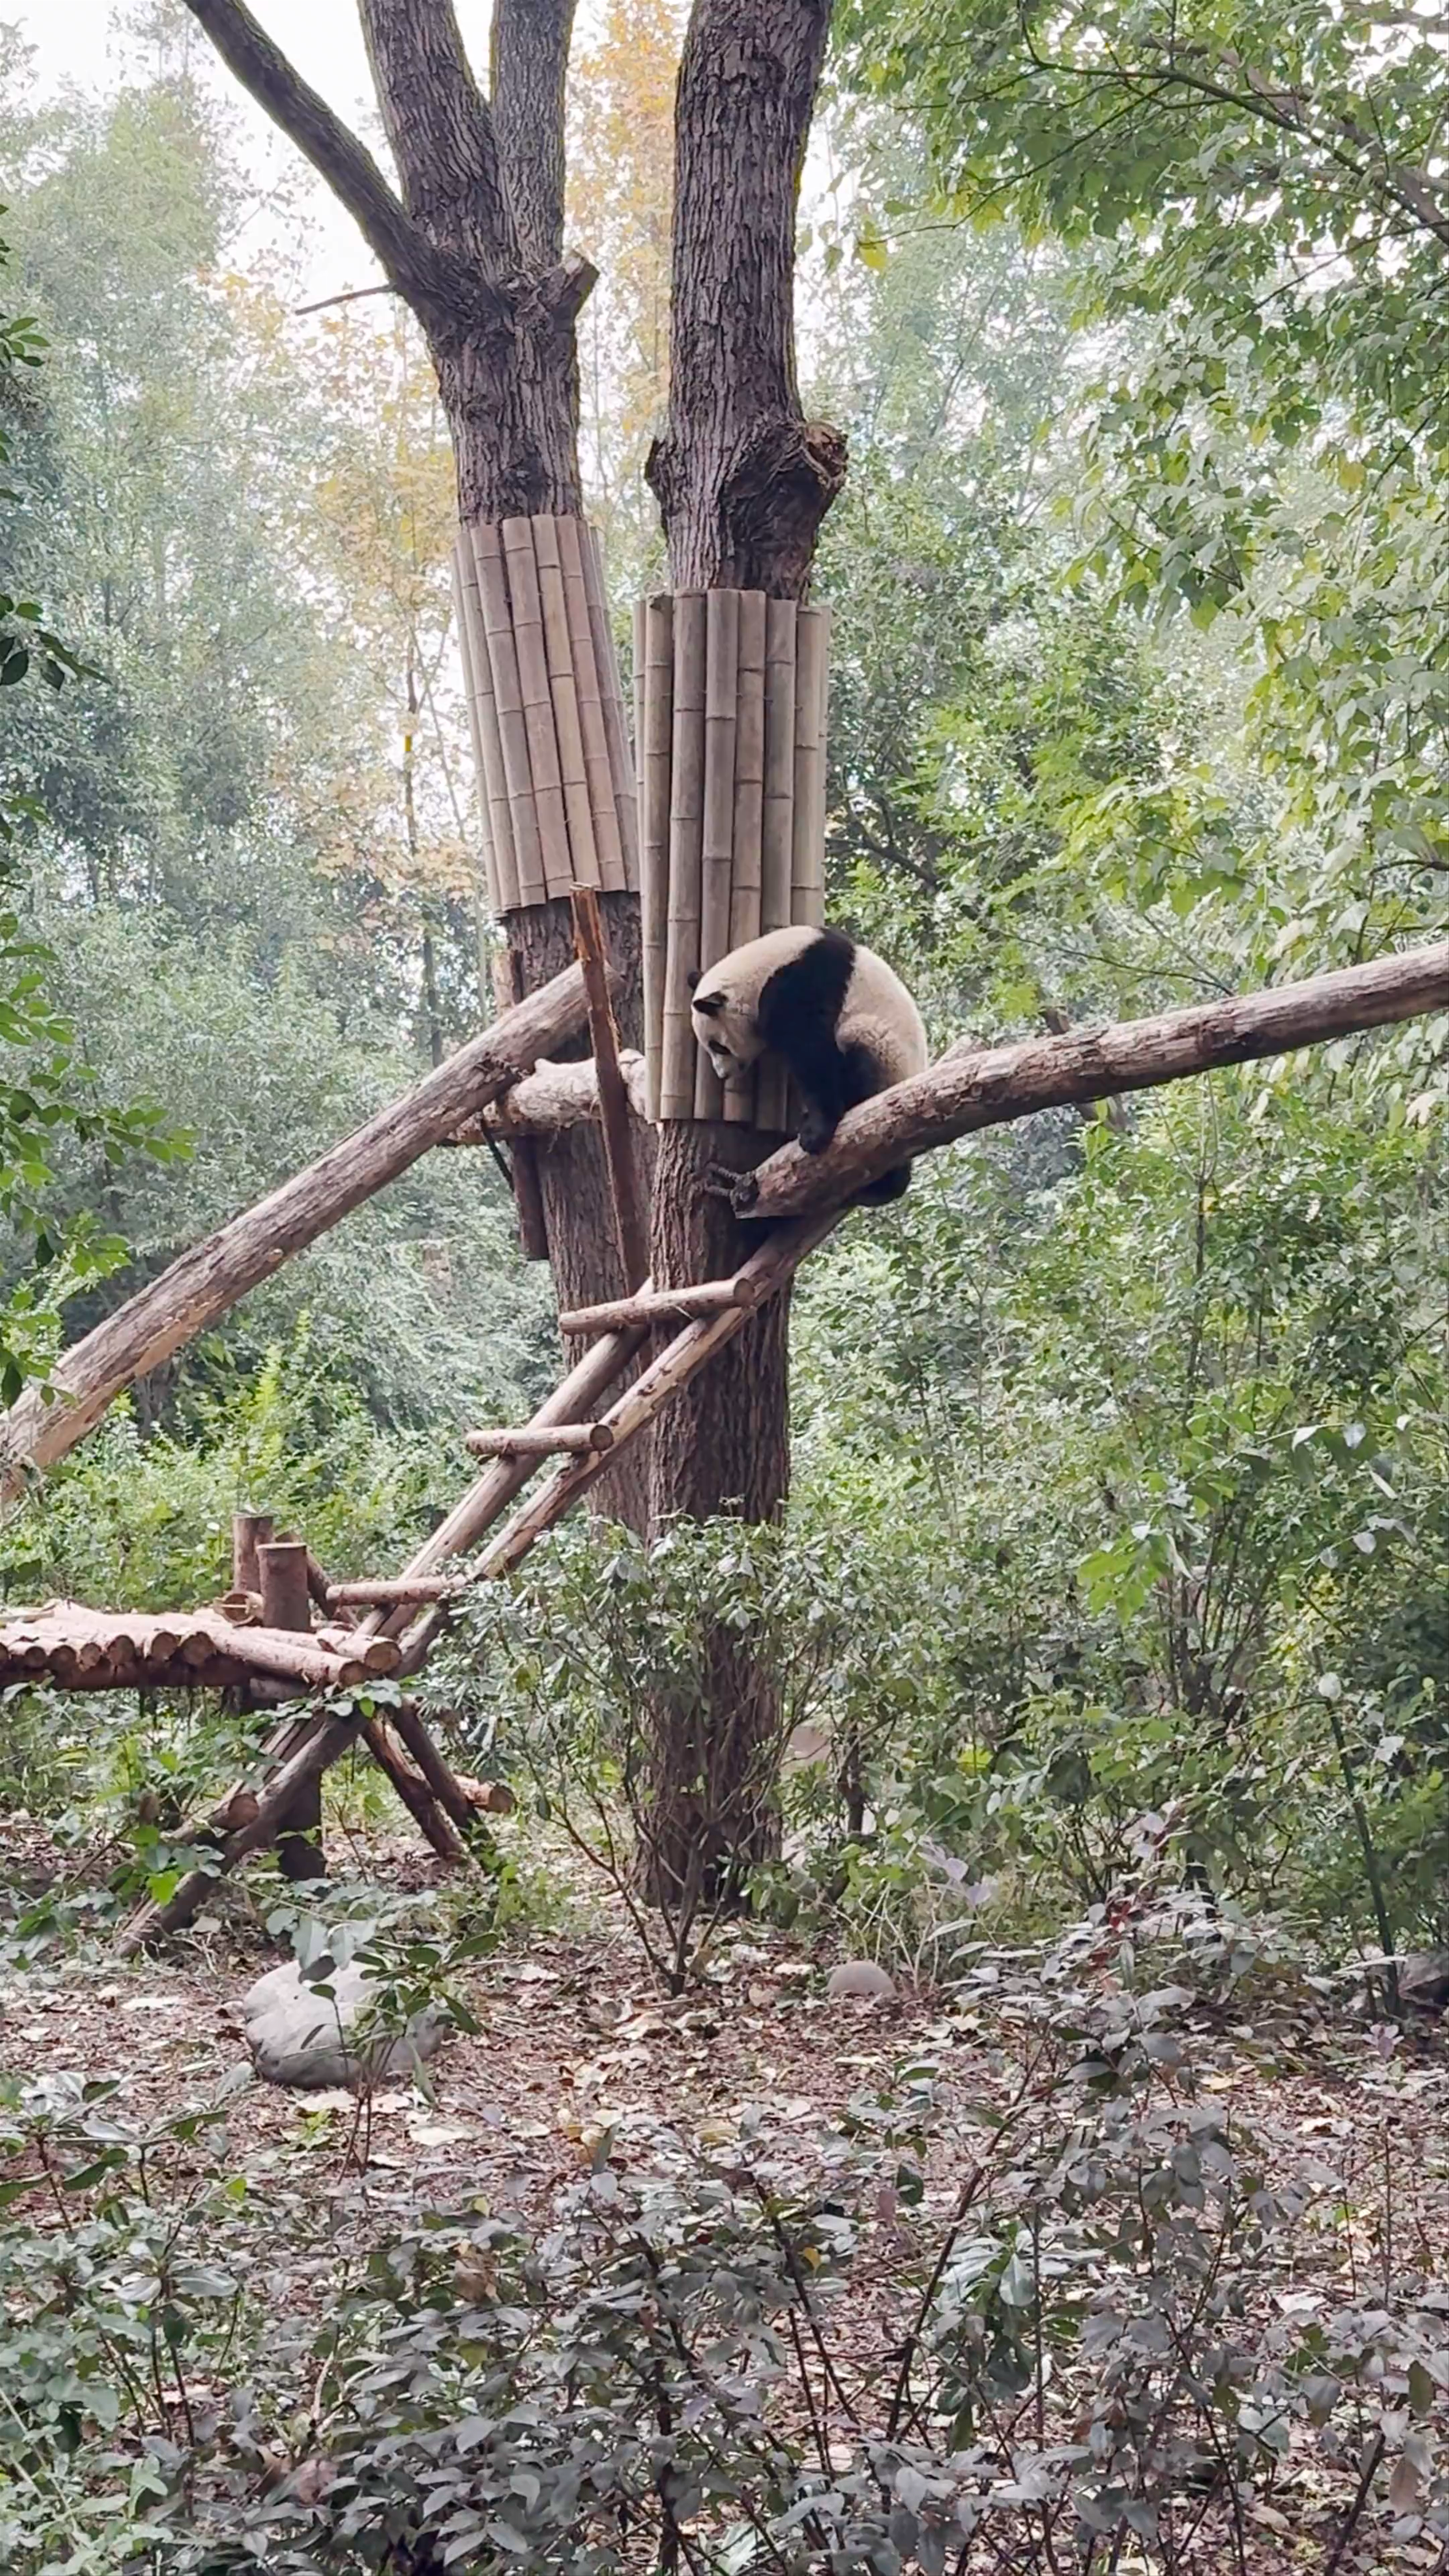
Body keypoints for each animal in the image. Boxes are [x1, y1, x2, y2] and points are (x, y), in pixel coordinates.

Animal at [688, 924, 928, 1203]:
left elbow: (811, 1050)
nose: (722, 1074)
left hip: (887, 1055)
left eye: (718, 1046)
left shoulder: (804, 984)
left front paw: (816, 1133)